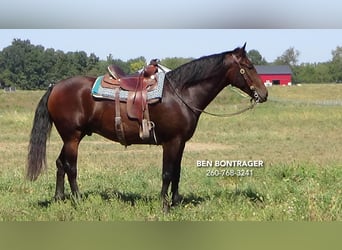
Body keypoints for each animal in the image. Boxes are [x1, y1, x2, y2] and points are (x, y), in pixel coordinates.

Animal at [26, 44, 268, 212]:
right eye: (248, 67)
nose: (264, 94)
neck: (181, 93)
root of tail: (55, 86)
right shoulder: (171, 142)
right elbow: (167, 173)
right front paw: (165, 206)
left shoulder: (180, 142)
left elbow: (177, 172)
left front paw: (176, 202)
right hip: (72, 137)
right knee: (71, 167)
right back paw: (77, 200)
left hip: (72, 137)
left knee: (60, 163)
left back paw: (59, 198)